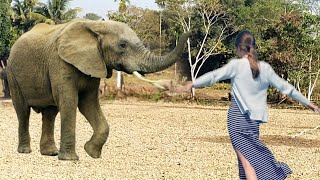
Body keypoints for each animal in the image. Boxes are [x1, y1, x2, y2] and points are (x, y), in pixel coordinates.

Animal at [6, 19, 190, 160]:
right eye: (122, 45)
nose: (187, 32)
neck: (96, 26)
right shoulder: (60, 62)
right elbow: (69, 101)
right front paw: (70, 160)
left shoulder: (94, 63)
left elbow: (88, 103)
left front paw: (92, 153)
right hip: (12, 73)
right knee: (23, 111)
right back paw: (25, 151)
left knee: (50, 113)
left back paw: (50, 153)